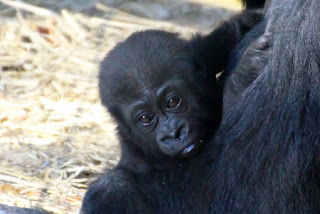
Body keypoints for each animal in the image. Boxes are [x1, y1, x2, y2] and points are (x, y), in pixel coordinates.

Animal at [81, 9, 266, 214]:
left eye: (172, 102)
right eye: (145, 118)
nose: (174, 133)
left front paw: (245, 22)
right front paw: (239, 80)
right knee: (110, 186)